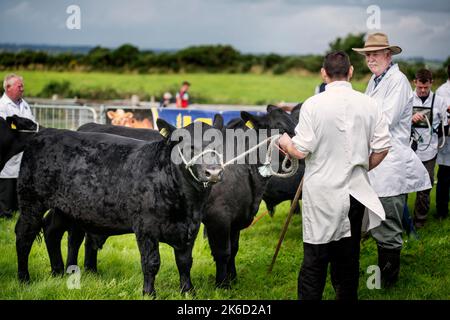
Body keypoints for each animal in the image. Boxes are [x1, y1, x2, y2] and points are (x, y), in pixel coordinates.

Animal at [15, 119, 223, 296]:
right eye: (189, 146)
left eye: (218, 146)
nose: (213, 172)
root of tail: (46, 131)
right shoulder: (146, 228)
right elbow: (151, 262)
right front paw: (149, 293)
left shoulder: (191, 228)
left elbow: (185, 262)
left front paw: (188, 291)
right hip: (31, 201)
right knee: (25, 234)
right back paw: (24, 279)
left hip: (66, 208)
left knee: (52, 230)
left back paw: (57, 272)